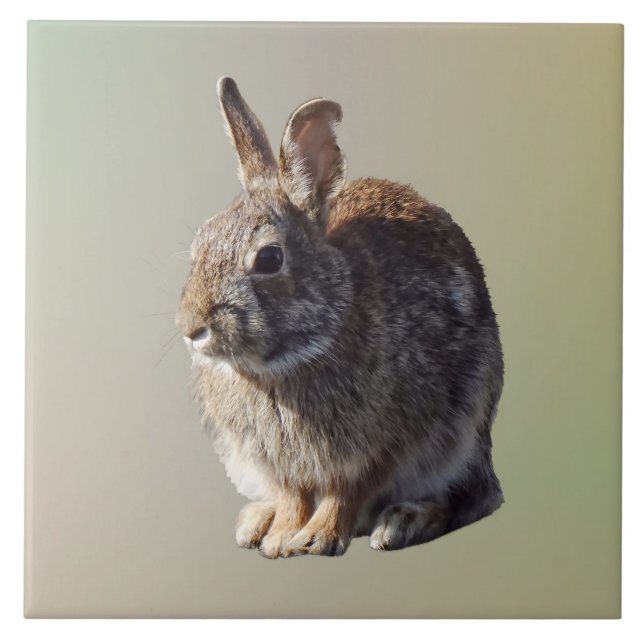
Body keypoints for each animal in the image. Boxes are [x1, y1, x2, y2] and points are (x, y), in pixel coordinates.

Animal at [176, 77, 504, 558]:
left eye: (269, 258)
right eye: (200, 242)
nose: (191, 328)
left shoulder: (381, 444)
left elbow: (345, 491)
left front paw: (315, 539)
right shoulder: (279, 464)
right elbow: (293, 494)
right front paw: (280, 538)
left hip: (463, 432)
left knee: (470, 500)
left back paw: (401, 522)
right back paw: (257, 520)